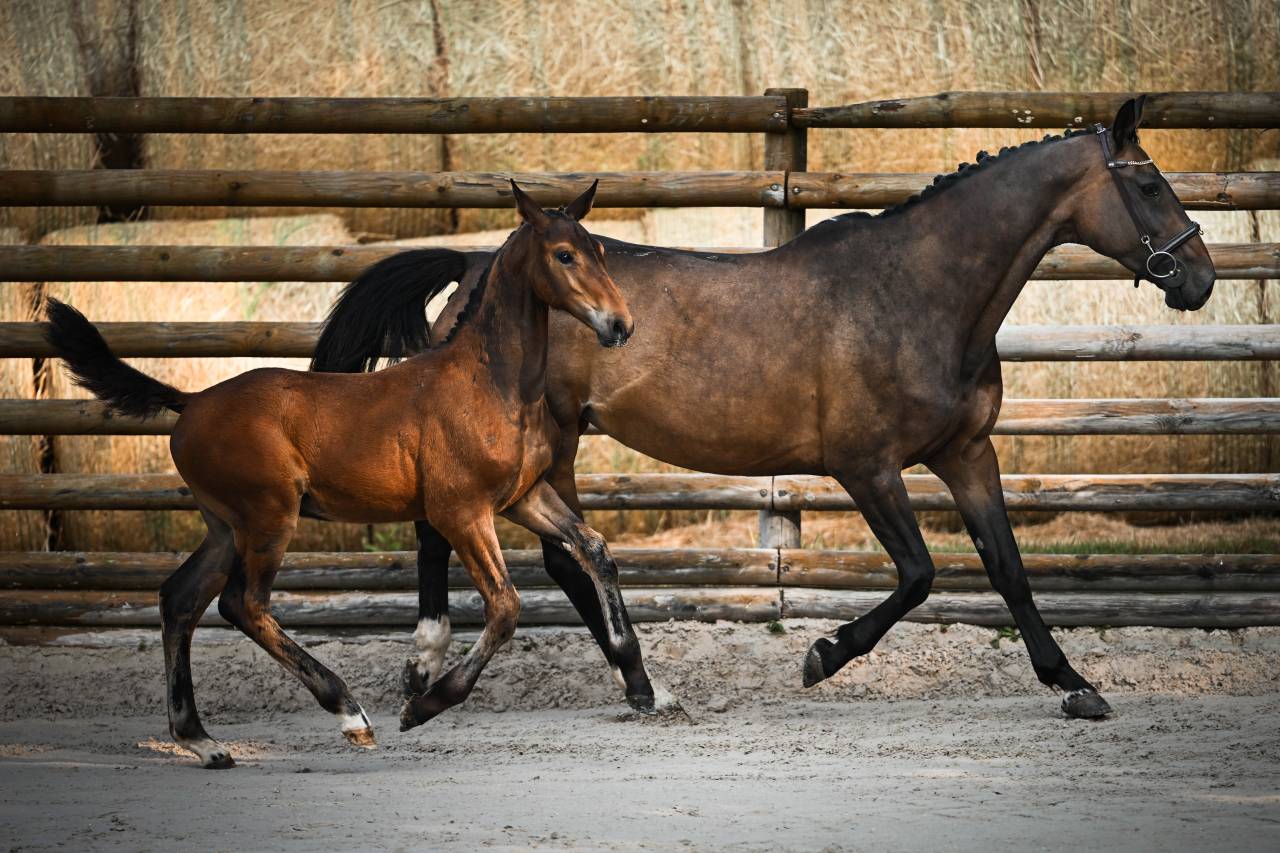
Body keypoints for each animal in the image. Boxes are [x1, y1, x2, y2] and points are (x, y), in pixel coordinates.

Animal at [43, 181, 656, 769]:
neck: (491, 382)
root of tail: (189, 401)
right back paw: (349, 713)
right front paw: (422, 706)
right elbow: (505, 607)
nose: (622, 325)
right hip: (268, 519)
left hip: (225, 527)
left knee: (180, 599)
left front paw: (635, 670)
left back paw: (203, 742)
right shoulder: (460, 512)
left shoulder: (523, 497)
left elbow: (594, 548)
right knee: (243, 605)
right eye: (564, 254)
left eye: (602, 251)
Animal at [312, 96, 1216, 720]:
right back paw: (440, 668)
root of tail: (477, 264)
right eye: (1147, 182)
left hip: (552, 446)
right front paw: (822, 653)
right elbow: (920, 574)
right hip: (536, 440)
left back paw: (636, 682)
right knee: (469, 535)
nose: (1200, 278)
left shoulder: (966, 452)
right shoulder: (866, 466)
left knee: (564, 555)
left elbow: (1009, 569)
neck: (921, 292)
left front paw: (1075, 683)